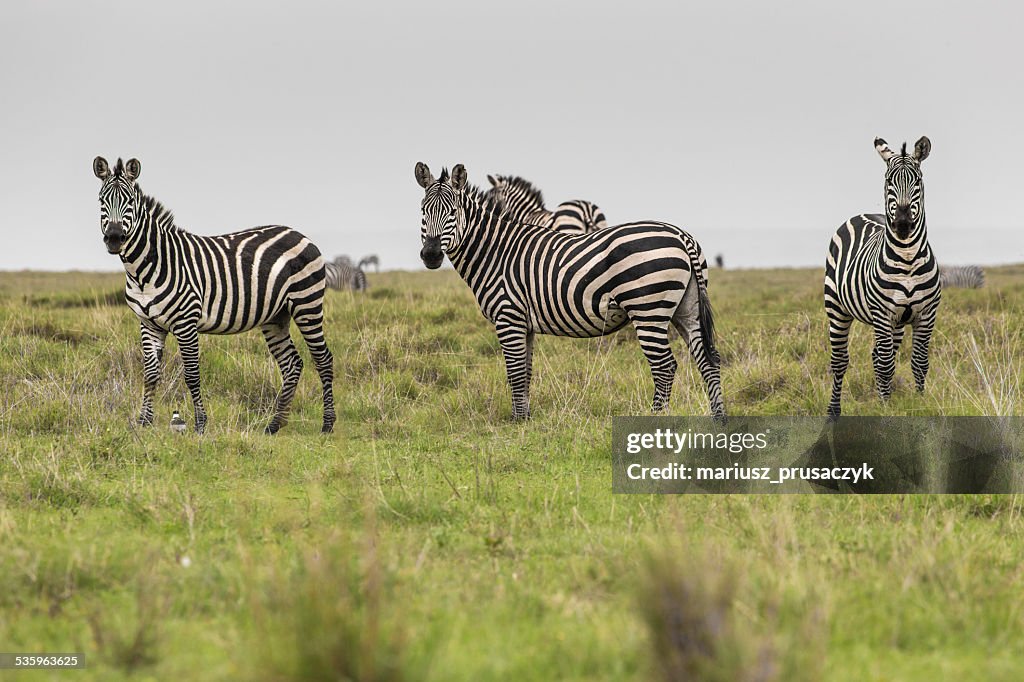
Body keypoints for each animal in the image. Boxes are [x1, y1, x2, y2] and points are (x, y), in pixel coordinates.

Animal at [90, 157, 333, 432]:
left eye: (130, 200)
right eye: (101, 200)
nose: (114, 238)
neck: (145, 269)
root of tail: (299, 233)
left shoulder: (186, 321)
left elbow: (192, 375)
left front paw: (200, 424)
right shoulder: (149, 324)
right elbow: (150, 374)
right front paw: (144, 422)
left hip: (307, 303)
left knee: (323, 359)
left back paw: (327, 424)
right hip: (276, 316)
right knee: (291, 364)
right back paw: (274, 425)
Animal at [411, 163, 724, 419]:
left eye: (452, 212)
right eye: (423, 212)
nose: (431, 255)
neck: (494, 252)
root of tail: (681, 236)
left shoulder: (508, 317)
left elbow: (514, 372)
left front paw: (516, 422)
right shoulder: (524, 323)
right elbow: (525, 371)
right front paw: (525, 419)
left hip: (648, 309)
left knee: (664, 367)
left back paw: (655, 420)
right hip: (687, 309)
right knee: (708, 361)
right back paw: (718, 421)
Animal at [823, 136, 942, 417]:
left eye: (918, 180)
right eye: (888, 181)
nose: (902, 224)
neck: (907, 258)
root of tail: (862, 213)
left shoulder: (927, 313)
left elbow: (919, 362)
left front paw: (918, 404)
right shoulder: (882, 313)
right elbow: (887, 365)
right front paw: (887, 412)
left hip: (896, 322)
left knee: (877, 355)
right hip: (837, 308)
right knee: (840, 361)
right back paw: (833, 411)